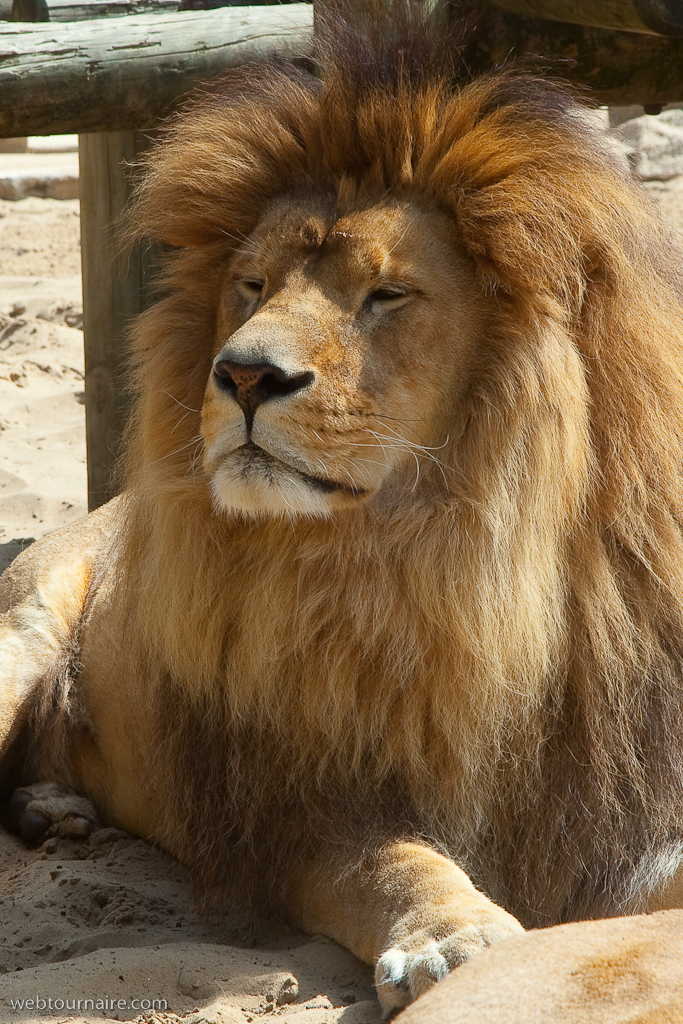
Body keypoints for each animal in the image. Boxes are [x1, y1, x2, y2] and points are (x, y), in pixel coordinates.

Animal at [2, 10, 683, 1015]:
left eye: (385, 294)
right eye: (251, 285)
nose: (243, 374)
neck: (437, 561)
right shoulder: (292, 809)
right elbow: (389, 859)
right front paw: (453, 933)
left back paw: (54, 810)